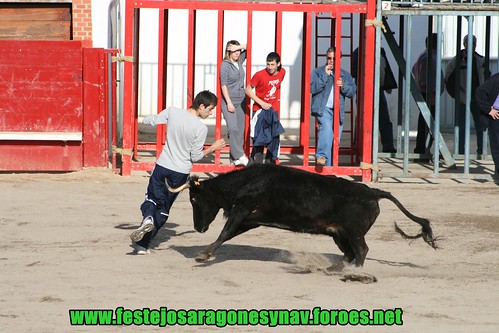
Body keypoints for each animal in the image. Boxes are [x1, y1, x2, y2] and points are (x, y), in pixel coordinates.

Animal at [170, 163, 440, 264]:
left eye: (194, 199)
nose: (198, 228)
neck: (249, 180)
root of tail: (373, 191)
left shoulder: (242, 210)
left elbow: (225, 232)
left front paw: (204, 254)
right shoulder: (250, 218)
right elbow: (229, 234)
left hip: (353, 232)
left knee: (362, 250)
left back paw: (353, 271)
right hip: (340, 234)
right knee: (350, 252)